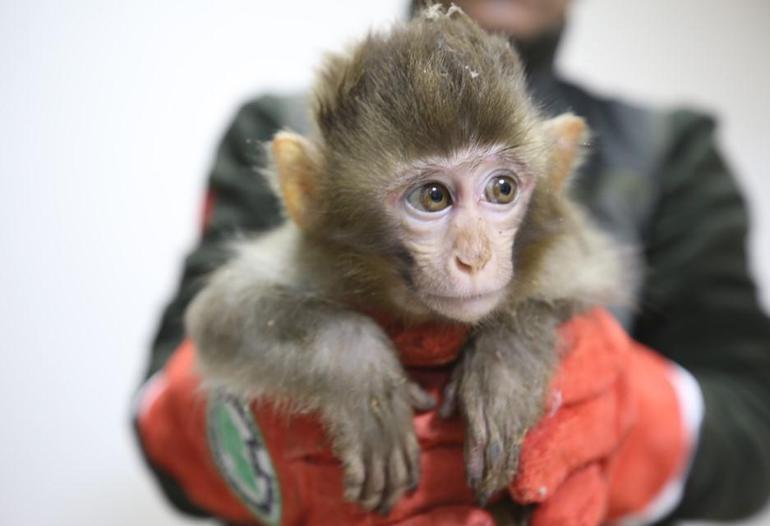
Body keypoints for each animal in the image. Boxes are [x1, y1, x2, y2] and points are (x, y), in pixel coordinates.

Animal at [186, 4, 624, 516]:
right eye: (433, 196)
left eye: (502, 189)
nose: (475, 257)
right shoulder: (311, 261)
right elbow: (221, 315)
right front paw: (363, 376)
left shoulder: (565, 258)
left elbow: (590, 284)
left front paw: (504, 365)